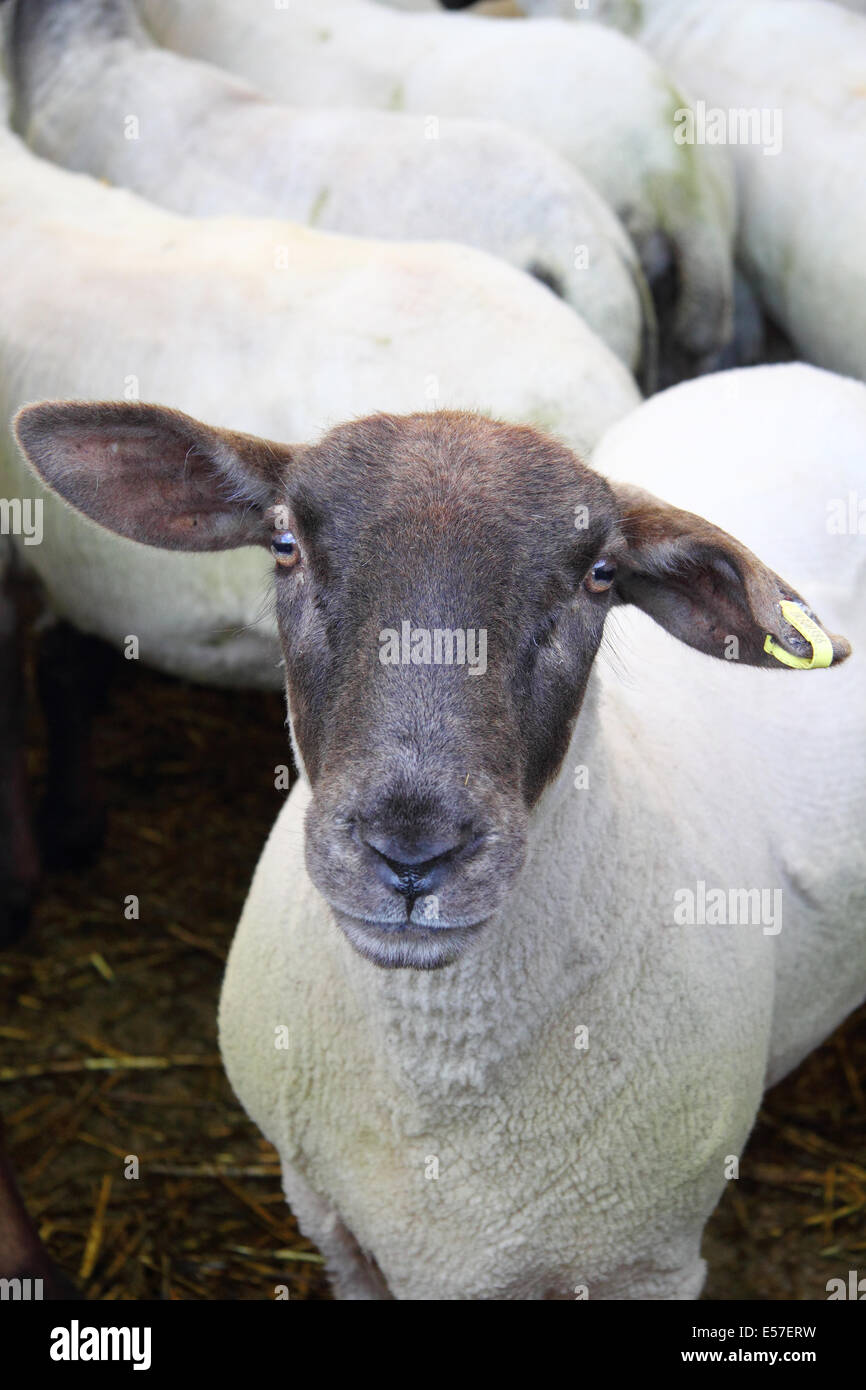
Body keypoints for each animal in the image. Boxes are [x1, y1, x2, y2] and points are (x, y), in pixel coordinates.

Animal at [15, 364, 866, 1295]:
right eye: (284, 545)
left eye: (601, 575)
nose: (412, 851)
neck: (436, 1072)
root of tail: (801, 373)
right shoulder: (326, 1216)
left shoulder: (650, 1263)